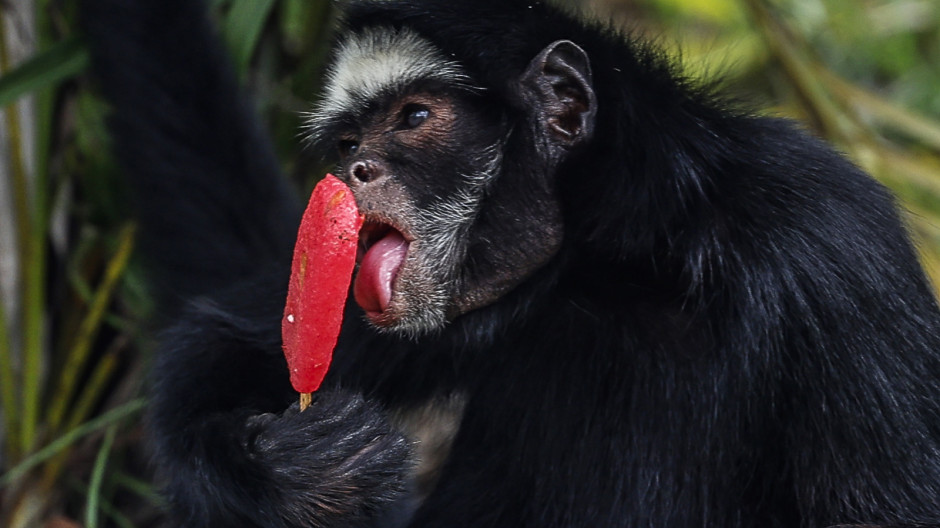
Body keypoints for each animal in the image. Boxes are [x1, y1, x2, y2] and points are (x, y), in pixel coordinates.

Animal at [80, 0, 940, 527]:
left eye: (414, 118)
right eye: (349, 140)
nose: (351, 173)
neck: (621, 263)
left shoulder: (826, 239)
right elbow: (210, 349)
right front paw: (300, 477)